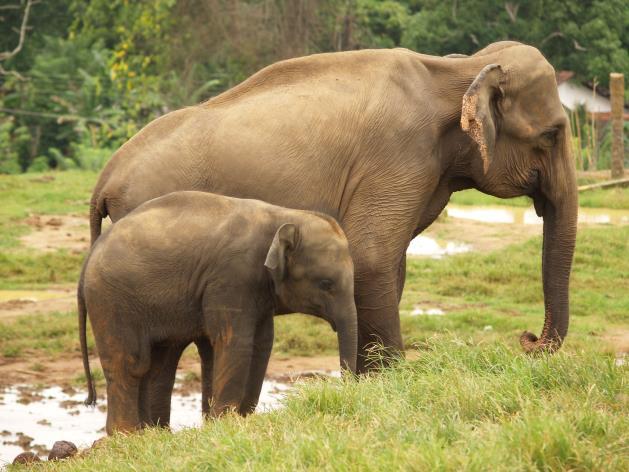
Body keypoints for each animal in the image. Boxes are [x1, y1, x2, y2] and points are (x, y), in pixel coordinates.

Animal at [78, 190, 354, 434]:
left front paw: (236, 421)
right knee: (130, 363)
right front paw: (225, 423)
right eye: (325, 284)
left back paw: (150, 434)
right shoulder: (231, 276)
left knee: (153, 363)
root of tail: (89, 257)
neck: (283, 216)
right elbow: (235, 342)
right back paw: (127, 435)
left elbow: (261, 344)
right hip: (110, 300)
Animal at [87, 39, 576, 416]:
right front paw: (388, 389)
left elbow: (387, 268)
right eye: (552, 134)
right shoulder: (399, 156)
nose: (527, 340)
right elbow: (373, 258)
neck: (458, 68)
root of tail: (105, 178)